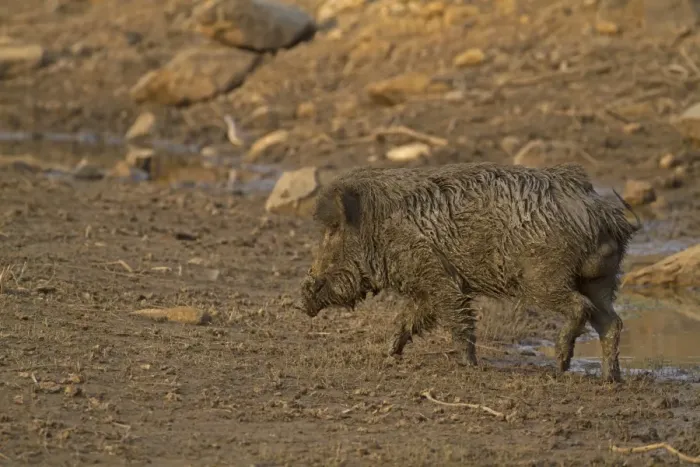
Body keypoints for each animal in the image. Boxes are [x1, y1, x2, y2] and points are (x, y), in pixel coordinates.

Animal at [296, 162, 640, 383]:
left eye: (333, 230)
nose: (302, 297)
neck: (379, 228)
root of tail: (600, 214)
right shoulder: (425, 287)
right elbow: (407, 319)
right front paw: (389, 353)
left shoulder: (439, 277)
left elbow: (457, 319)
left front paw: (469, 365)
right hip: (601, 279)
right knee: (612, 322)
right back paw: (611, 379)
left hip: (544, 278)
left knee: (580, 308)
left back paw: (561, 364)